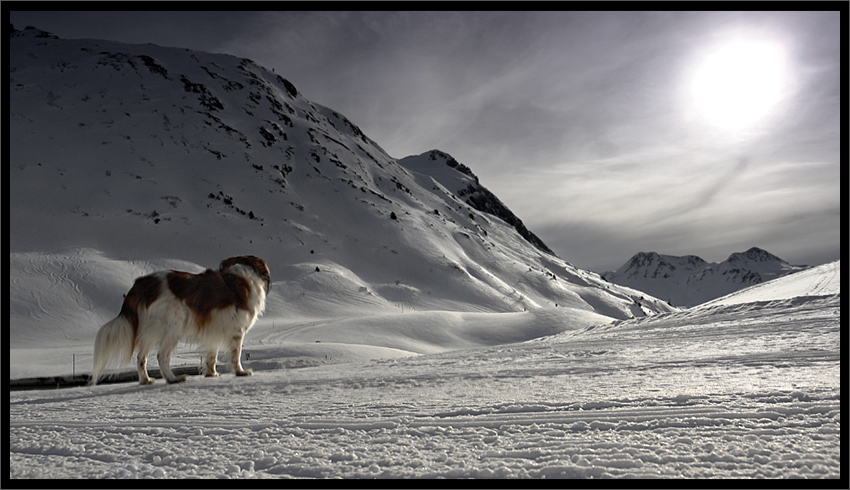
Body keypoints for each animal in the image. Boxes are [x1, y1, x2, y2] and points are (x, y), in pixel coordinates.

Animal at [91, 255, 268, 384]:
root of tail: (142, 283)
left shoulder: (214, 330)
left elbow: (212, 355)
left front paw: (211, 374)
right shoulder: (237, 330)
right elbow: (236, 355)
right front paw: (240, 372)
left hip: (151, 331)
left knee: (141, 358)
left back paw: (146, 380)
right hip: (174, 327)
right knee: (161, 356)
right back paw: (173, 379)